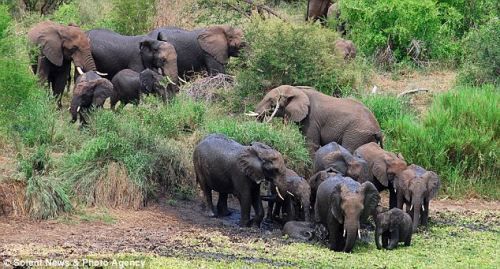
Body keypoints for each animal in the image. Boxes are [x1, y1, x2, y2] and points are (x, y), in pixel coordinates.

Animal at [249, 85, 382, 154]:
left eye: (271, 101)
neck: (298, 90)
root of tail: (378, 129)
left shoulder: (312, 120)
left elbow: (311, 145)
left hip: (356, 133)